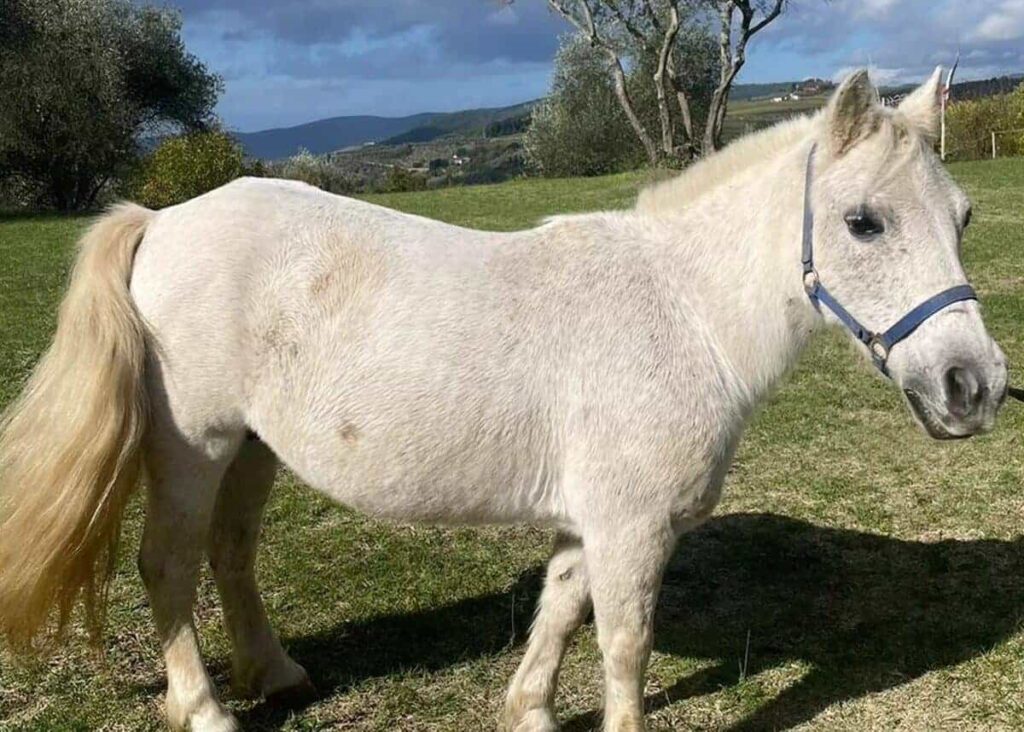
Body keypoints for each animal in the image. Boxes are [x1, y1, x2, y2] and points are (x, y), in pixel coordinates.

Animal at [0, 69, 1008, 732]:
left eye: (962, 217)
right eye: (862, 222)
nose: (975, 386)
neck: (682, 311)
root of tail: (163, 221)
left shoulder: (592, 522)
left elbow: (561, 613)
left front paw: (528, 711)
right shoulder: (633, 527)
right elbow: (625, 648)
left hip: (252, 448)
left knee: (230, 555)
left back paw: (276, 674)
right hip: (194, 446)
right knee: (168, 568)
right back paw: (206, 710)